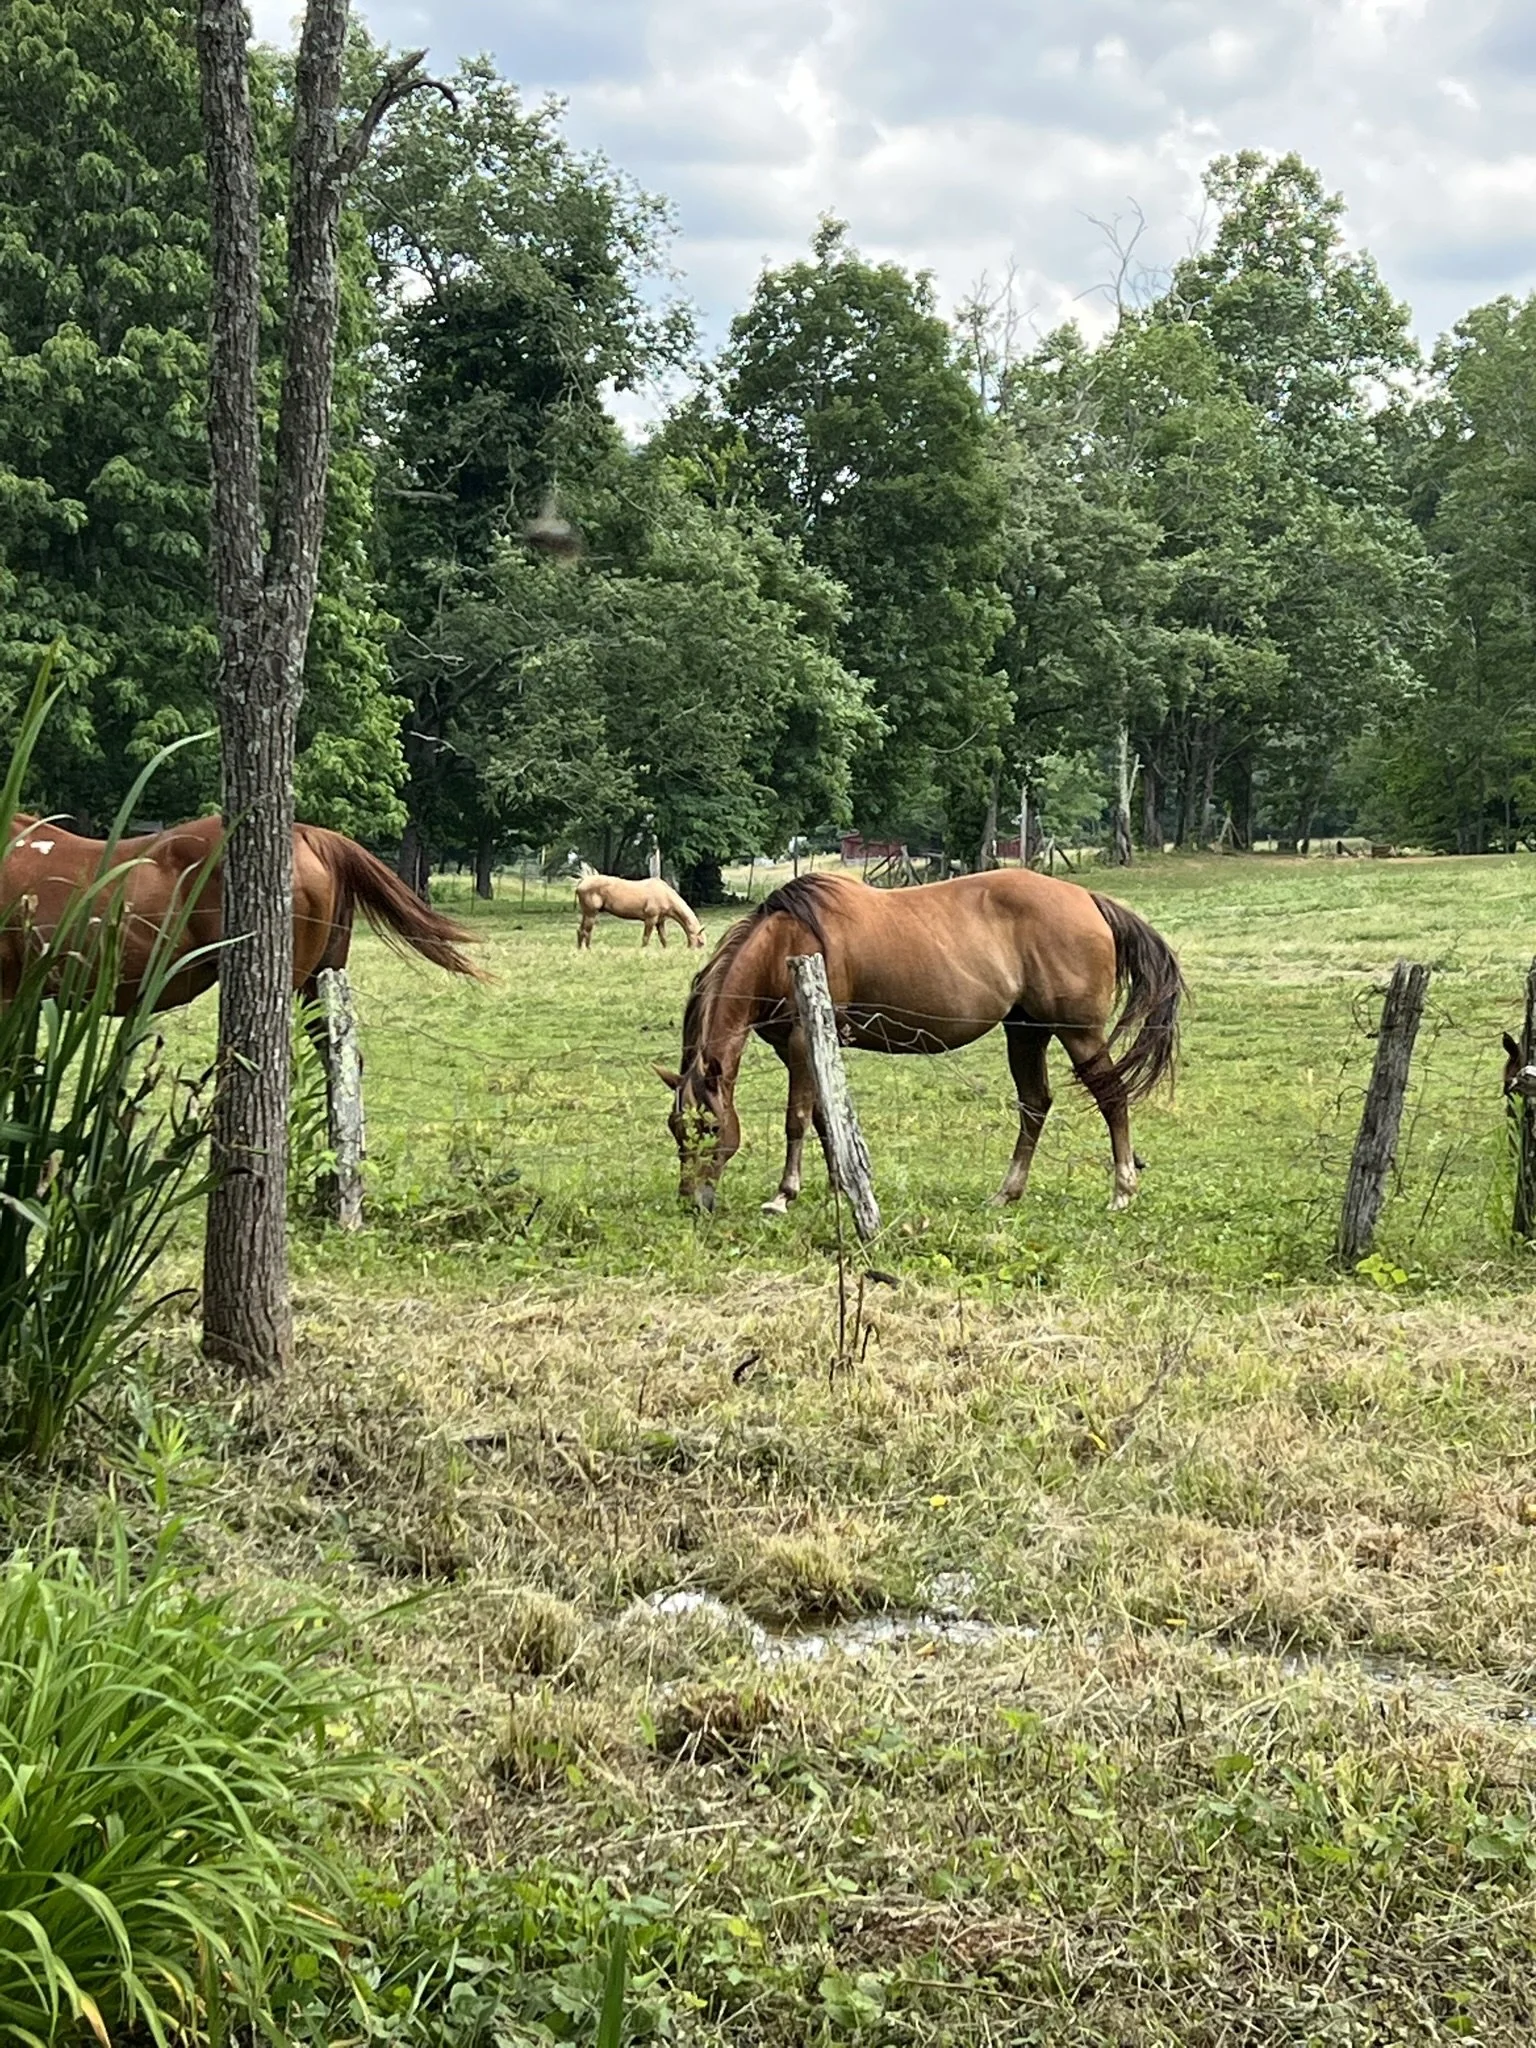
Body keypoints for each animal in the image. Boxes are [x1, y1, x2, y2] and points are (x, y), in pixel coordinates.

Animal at [575, 866, 704, 951]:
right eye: (701, 942)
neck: (665, 894)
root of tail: (582, 882)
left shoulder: (660, 921)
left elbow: (663, 938)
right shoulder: (650, 919)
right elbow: (646, 938)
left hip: (586, 914)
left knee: (581, 931)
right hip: (591, 914)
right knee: (586, 931)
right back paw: (588, 950)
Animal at [654, 870, 1184, 1216]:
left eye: (709, 1128)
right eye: (676, 1129)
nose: (691, 1198)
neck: (784, 943)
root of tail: (1088, 899)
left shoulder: (805, 1042)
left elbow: (798, 1119)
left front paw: (784, 1194)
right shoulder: (799, 1048)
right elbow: (825, 1118)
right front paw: (840, 1186)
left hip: (1078, 1032)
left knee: (1111, 1097)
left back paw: (1122, 1189)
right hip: (1024, 1031)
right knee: (1035, 1104)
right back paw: (1006, 1193)